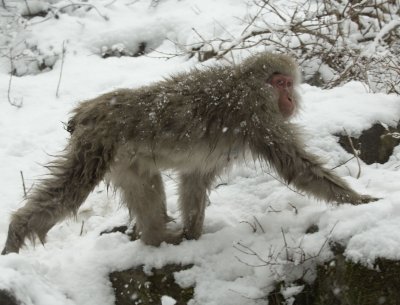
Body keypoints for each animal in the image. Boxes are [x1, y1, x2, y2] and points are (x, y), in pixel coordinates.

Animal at [1, 52, 376, 254]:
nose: (290, 98)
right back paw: (15, 240)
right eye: (280, 82)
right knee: (68, 192)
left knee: (146, 187)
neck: (250, 84)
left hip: (126, 160)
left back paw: (157, 240)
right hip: (96, 142)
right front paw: (359, 201)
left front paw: (193, 235)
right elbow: (296, 166)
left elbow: (194, 180)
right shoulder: (258, 117)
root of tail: (87, 110)